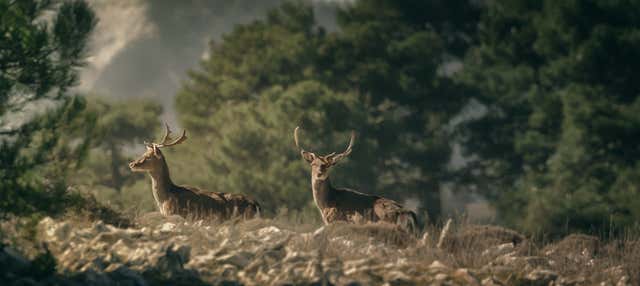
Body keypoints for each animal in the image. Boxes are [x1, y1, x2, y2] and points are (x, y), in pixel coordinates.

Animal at [127, 123, 260, 221]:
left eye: (148, 156)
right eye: (143, 153)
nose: (132, 164)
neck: (165, 200)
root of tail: (256, 205)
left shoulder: (179, 215)